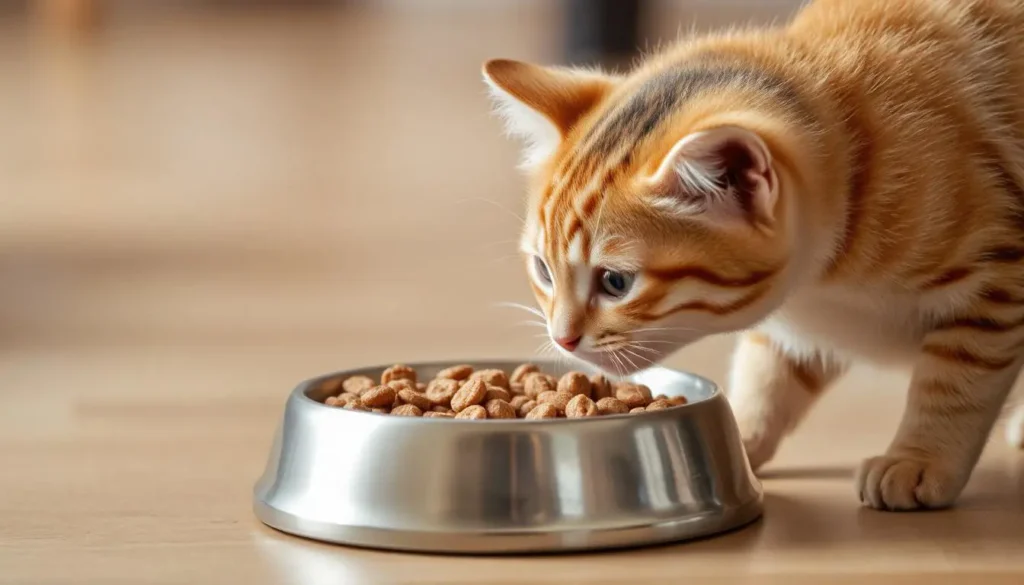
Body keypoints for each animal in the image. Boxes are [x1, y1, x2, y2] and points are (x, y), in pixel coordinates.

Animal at [483, 0, 1024, 512]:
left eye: (616, 282)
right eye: (543, 270)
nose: (563, 339)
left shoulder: (998, 282)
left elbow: (954, 383)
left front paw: (919, 458)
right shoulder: (791, 325)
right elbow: (766, 378)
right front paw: (738, 437)